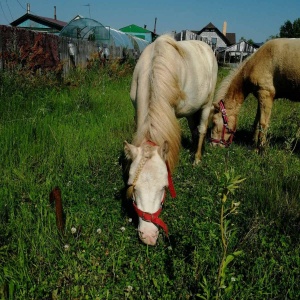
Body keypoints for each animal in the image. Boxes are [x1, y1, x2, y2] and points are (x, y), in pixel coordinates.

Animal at [124, 34, 218, 246]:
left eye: (164, 187)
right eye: (133, 186)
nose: (149, 236)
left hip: (207, 103)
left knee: (201, 130)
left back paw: (196, 158)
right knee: (193, 129)